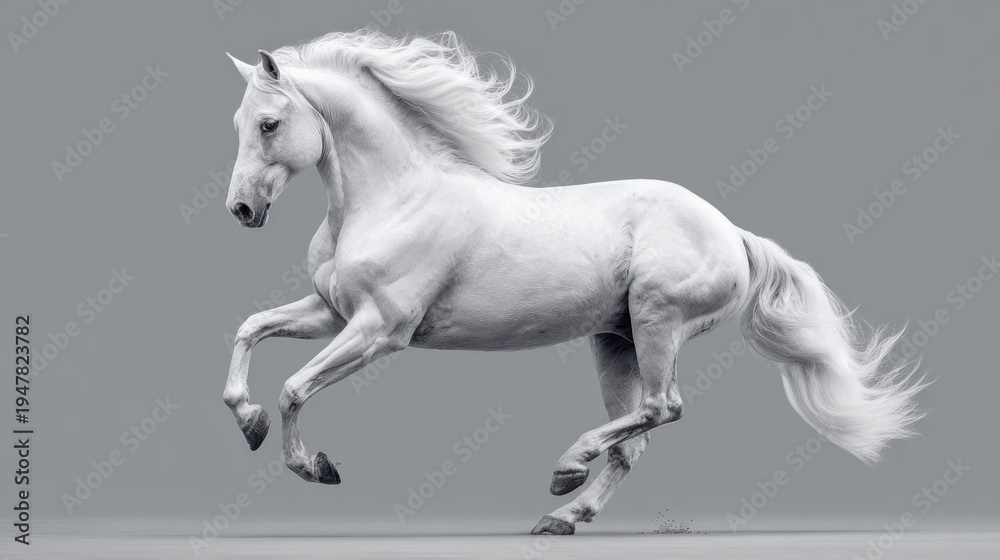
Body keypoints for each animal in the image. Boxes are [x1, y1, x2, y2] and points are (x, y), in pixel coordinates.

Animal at [221, 30, 926, 535]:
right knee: (635, 442)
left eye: (268, 124)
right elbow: (250, 329)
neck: (390, 199)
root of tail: (732, 234)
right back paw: (563, 515)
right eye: (238, 125)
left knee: (660, 409)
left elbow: (293, 388)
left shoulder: (380, 330)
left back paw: (565, 470)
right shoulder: (333, 312)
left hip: (656, 321)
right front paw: (248, 422)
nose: (241, 211)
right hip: (615, 340)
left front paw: (314, 467)